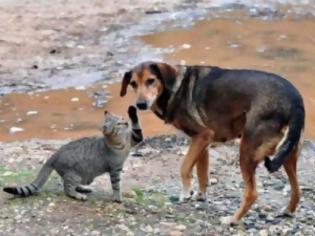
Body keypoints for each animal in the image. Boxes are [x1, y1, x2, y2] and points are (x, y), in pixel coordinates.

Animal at [2, 106, 143, 202]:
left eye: (123, 119)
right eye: (118, 124)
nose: (126, 123)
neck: (121, 142)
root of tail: (55, 154)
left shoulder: (135, 138)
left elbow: (137, 128)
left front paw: (132, 111)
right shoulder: (114, 169)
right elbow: (116, 185)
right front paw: (117, 198)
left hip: (80, 176)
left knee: (71, 185)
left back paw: (83, 189)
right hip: (74, 175)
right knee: (67, 189)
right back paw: (79, 195)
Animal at [119, 61, 304, 225]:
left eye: (151, 80)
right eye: (133, 84)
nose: (140, 104)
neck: (173, 88)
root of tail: (295, 102)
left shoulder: (203, 135)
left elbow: (184, 167)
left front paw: (186, 193)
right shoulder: (202, 143)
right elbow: (202, 173)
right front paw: (200, 196)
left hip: (247, 151)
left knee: (252, 194)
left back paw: (232, 220)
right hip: (288, 154)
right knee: (296, 188)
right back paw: (288, 211)